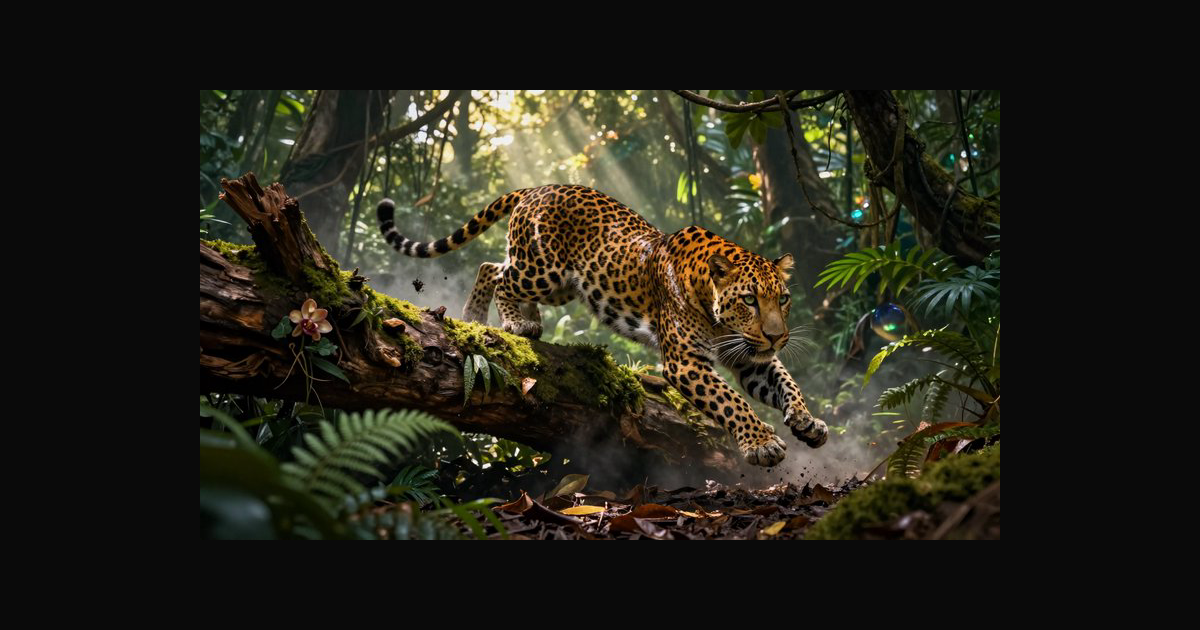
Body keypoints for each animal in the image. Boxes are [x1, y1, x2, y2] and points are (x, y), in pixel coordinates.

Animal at [378, 185, 827, 467]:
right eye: (749, 299)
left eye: (782, 299)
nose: (778, 336)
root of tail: (536, 189)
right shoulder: (685, 363)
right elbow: (731, 402)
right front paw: (762, 443)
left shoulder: (751, 357)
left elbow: (786, 383)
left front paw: (808, 422)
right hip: (544, 271)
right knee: (499, 273)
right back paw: (510, 322)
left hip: (560, 285)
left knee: (493, 265)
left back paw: (496, 318)